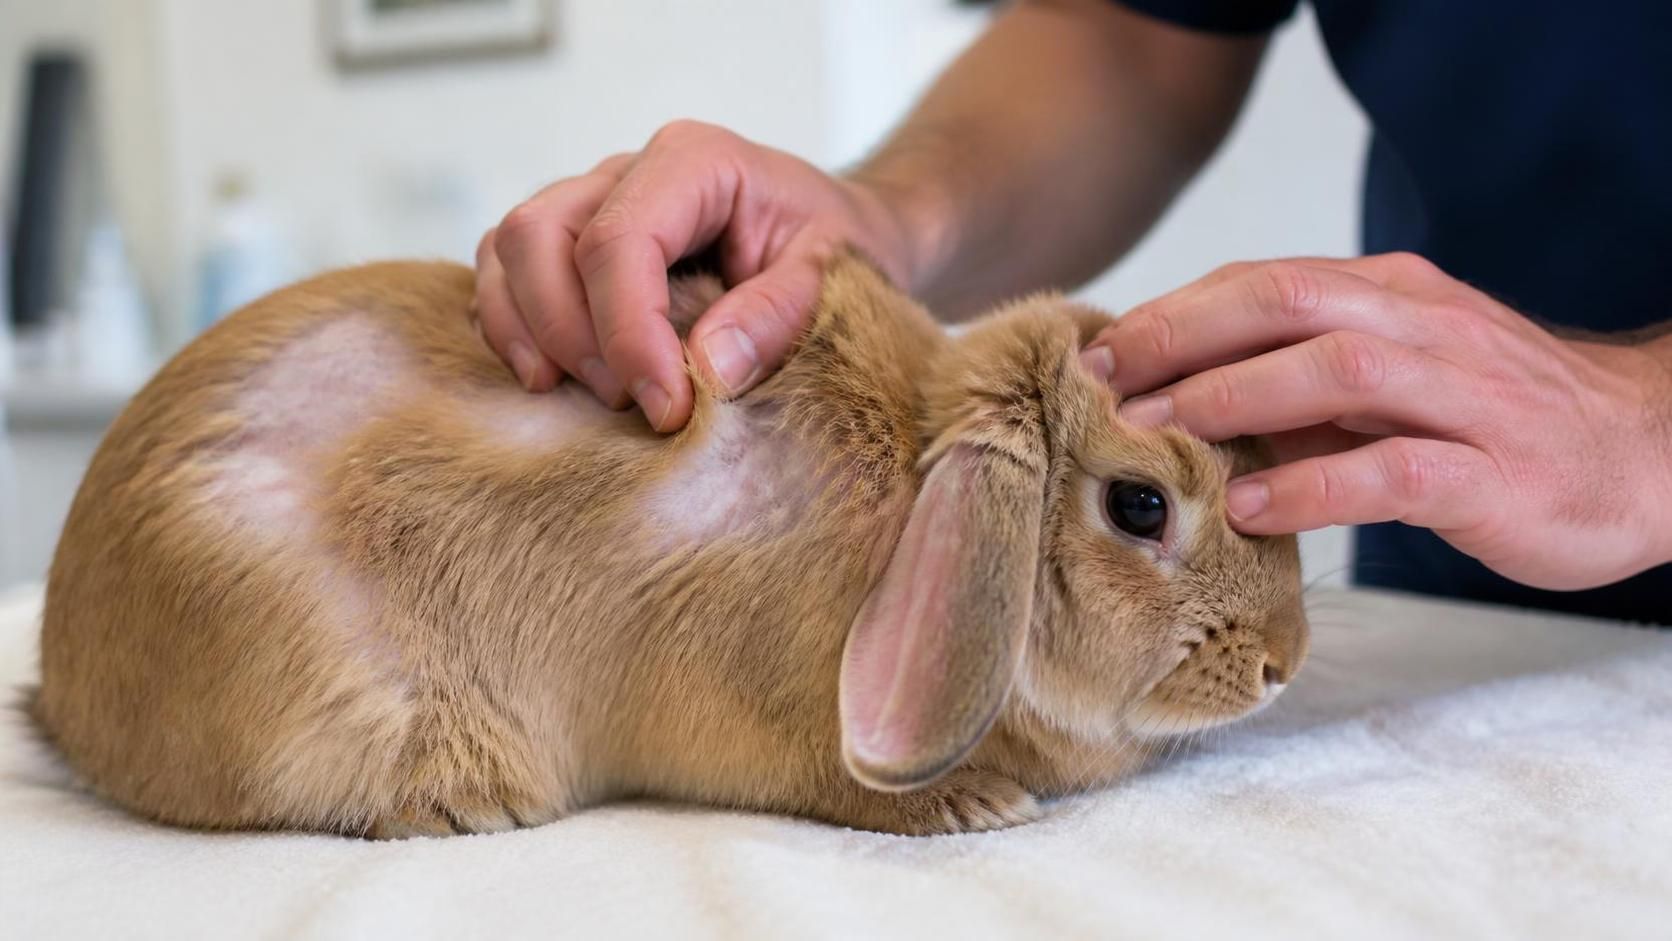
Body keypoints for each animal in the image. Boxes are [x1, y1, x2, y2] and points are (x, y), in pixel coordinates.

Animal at [29, 251, 1306, 838]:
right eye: (1138, 506)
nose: (1281, 661)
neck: (910, 472)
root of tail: (66, 681)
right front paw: (975, 803)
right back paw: (470, 804)